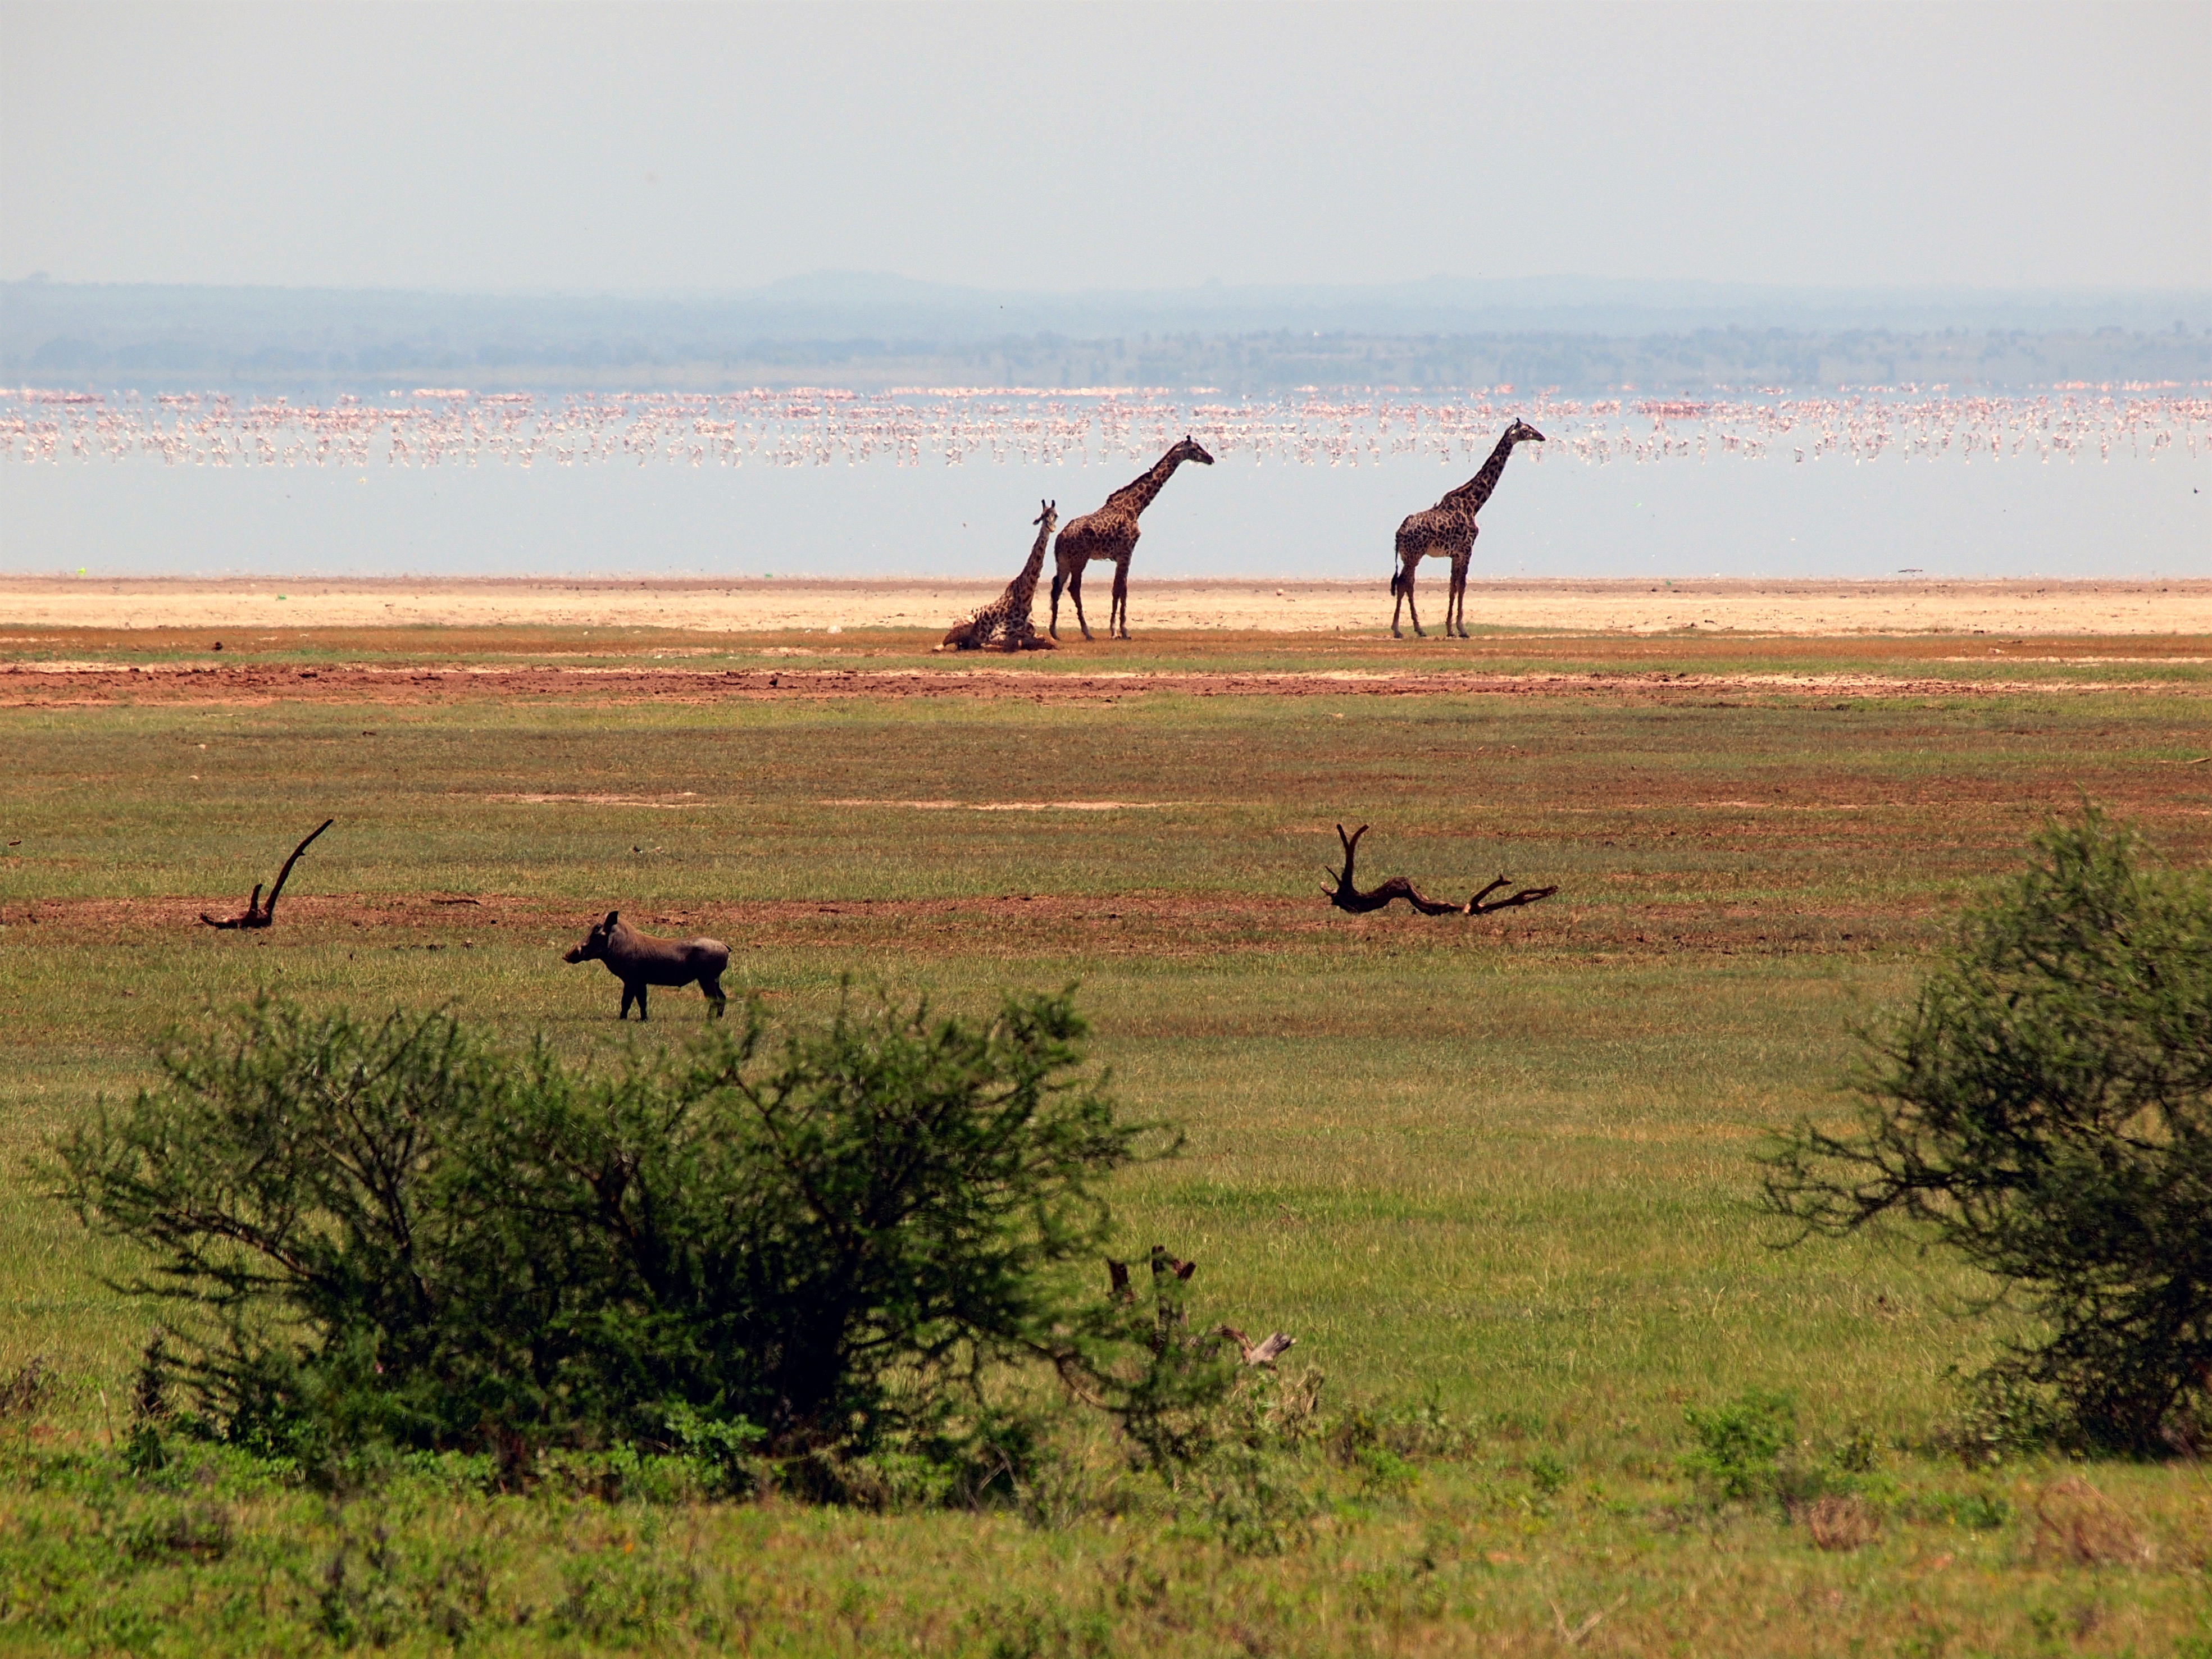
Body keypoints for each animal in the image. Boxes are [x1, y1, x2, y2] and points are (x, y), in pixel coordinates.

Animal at [937, 500, 1057, 650]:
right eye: (1042, 517)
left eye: (1056, 515)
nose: (1051, 527)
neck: (1025, 601)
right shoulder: (996, 635)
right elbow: (1014, 643)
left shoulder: (1032, 634)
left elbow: (1051, 642)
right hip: (967, 623)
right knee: (940, 646)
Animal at [1048, 435, 1221, 641]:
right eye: (1196, 448)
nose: (1211, 459)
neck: (1136, 506)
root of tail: (1060, 537)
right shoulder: (1126, 552)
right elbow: (1119, 589)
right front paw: (1118, 631)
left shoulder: (1122, 555)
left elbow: (1122, 589)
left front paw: (1120, 630)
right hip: (1079, 559)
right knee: (1074, 588)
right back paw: (1087, 632)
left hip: (1064, 560)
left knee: (1057, 587)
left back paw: (1055, 632)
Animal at [1389, 418, 1548, 641]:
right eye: (1526, 430)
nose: (1542, 437)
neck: (1473, 504)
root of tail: (1399, 533)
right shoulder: (1467, 550)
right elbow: (1462, 586)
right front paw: (1462, 629)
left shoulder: (1455, 554)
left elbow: (1452, 587)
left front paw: (1450, 629)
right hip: (1414, 555)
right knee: (1405, 584)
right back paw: (1402, 629)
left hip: (1408, 557)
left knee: (1407, 584)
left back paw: (1415, 629)